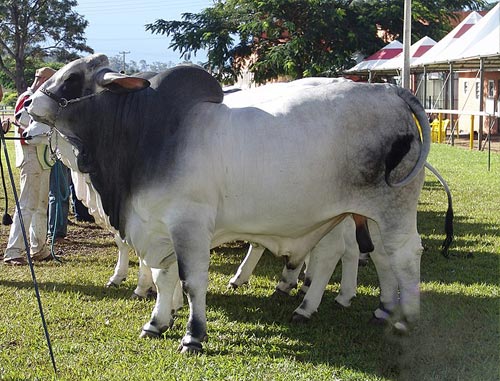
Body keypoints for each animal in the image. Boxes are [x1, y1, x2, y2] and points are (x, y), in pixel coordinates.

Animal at [23, 53, 432, 354]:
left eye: (72, 78)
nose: (27, 107)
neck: (145, 134)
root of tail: (390, 92)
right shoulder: (156, 228)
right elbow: (162, 276)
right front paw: (156, 323)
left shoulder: (189, 226)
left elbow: (191, 282)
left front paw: (193, 336)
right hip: (356, 214)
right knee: (371, 255)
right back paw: (359, 307)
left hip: (392, 207)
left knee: (404, 253)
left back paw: (405, 318)